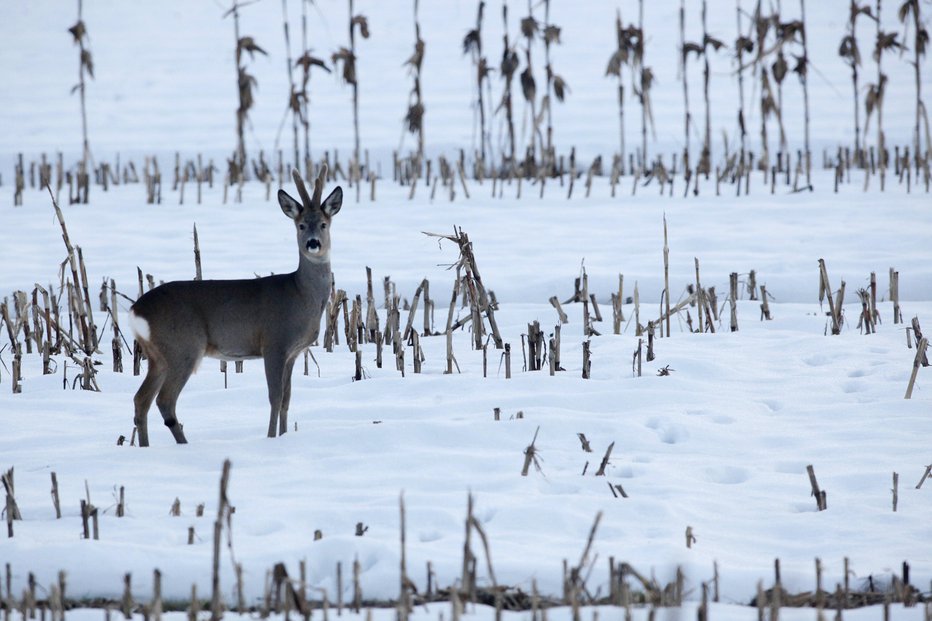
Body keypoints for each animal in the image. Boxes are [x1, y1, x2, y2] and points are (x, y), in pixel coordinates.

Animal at [125, 165, 340, 446]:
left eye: (324, 224)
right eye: (301, 224)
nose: (313, 243)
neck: (301, 294)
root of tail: (136, 310)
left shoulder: (293, 352)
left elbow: (287, 399)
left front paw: (283, 437)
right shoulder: (274, 342)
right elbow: (275, 397)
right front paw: (271, 438)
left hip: (157, 354)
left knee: (141, 399)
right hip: (183, 346)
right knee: (165, 400)